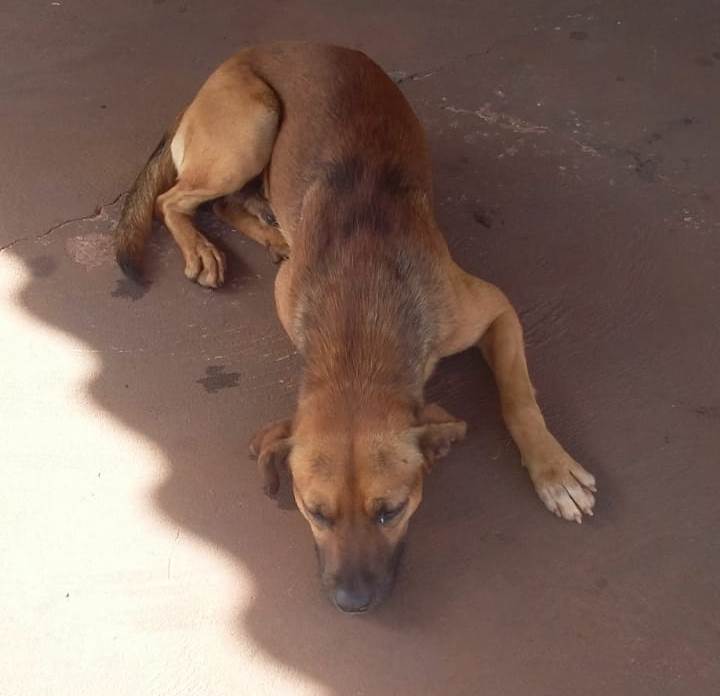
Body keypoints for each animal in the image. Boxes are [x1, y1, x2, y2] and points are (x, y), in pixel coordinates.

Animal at [114, 42, 596, 616]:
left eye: (391, 510)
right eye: (314, 511)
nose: (352, 603)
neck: (360, 328)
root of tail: (237, 57)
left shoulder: (495, 310)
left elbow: (519, 398)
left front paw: (553, 470)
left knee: (214, 201)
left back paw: (264, 230)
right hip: (250, 129)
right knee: (173, 200)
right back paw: (205, 245)